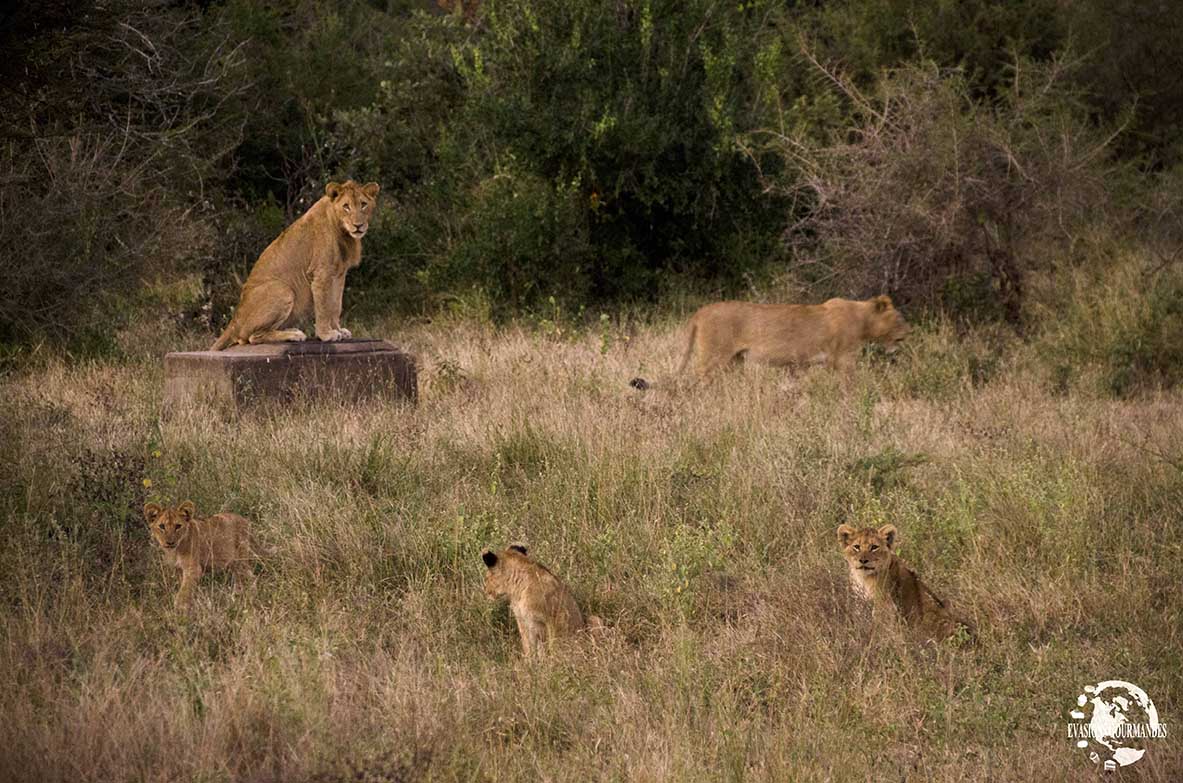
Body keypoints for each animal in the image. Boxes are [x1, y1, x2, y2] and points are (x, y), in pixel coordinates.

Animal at [209, 180, 378, 352]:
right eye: (346, 206)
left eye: (363, 205)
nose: (358, 225)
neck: (344, 233)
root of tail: (234, 321)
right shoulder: (321, 274)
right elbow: (324, 307)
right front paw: (326, 334)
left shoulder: (339, 274)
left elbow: (336, 305)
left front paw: (338, 330)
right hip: (282, 289)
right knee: (252, 337)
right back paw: (294, 335)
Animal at [634, 295, 908, 387]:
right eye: (900, 318)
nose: (910, 331)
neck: (862, 319)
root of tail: (700, 312)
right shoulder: (844, 360)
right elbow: (850, 385)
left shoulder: (799, 365)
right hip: (714, 358)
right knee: (696, 380)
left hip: (733, 362)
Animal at [837, 525, 974, 648]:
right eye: (856, 547)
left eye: (874, 547)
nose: (863, 561)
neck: (864, 579)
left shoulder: (885, 605)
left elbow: (879, 628)